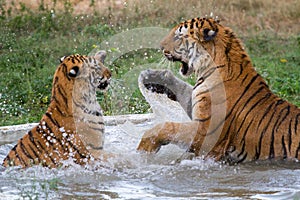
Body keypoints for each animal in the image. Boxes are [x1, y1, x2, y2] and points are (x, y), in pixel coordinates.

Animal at [138, 17, 300, 164]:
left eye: (178, 36)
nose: (160, 46)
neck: (207, 70)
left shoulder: (207, 133)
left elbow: (167, 126)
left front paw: (144, 148)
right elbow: (183, 88)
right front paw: (152, 78)